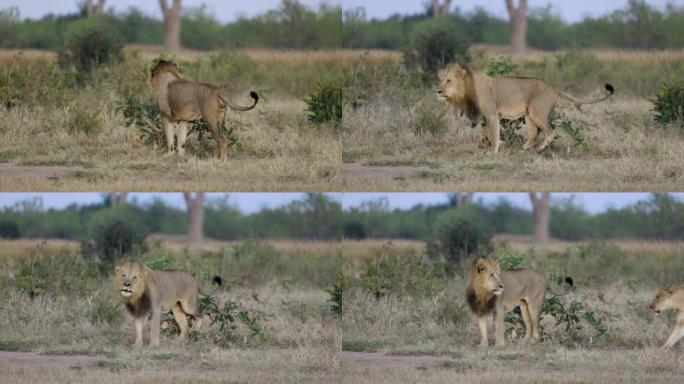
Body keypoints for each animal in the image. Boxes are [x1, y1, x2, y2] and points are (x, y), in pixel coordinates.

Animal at [438, 63, 616, 153]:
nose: (438, 91)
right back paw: (525, 148)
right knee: (533, 135)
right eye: (441, 80)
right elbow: (489, 134)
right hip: (529, 115)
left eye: (448, 81)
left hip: (538, 113)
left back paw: (540, 149)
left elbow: (493, 135)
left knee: (550, 132)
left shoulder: (492, 115)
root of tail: (553, 88)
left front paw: (493, 152)